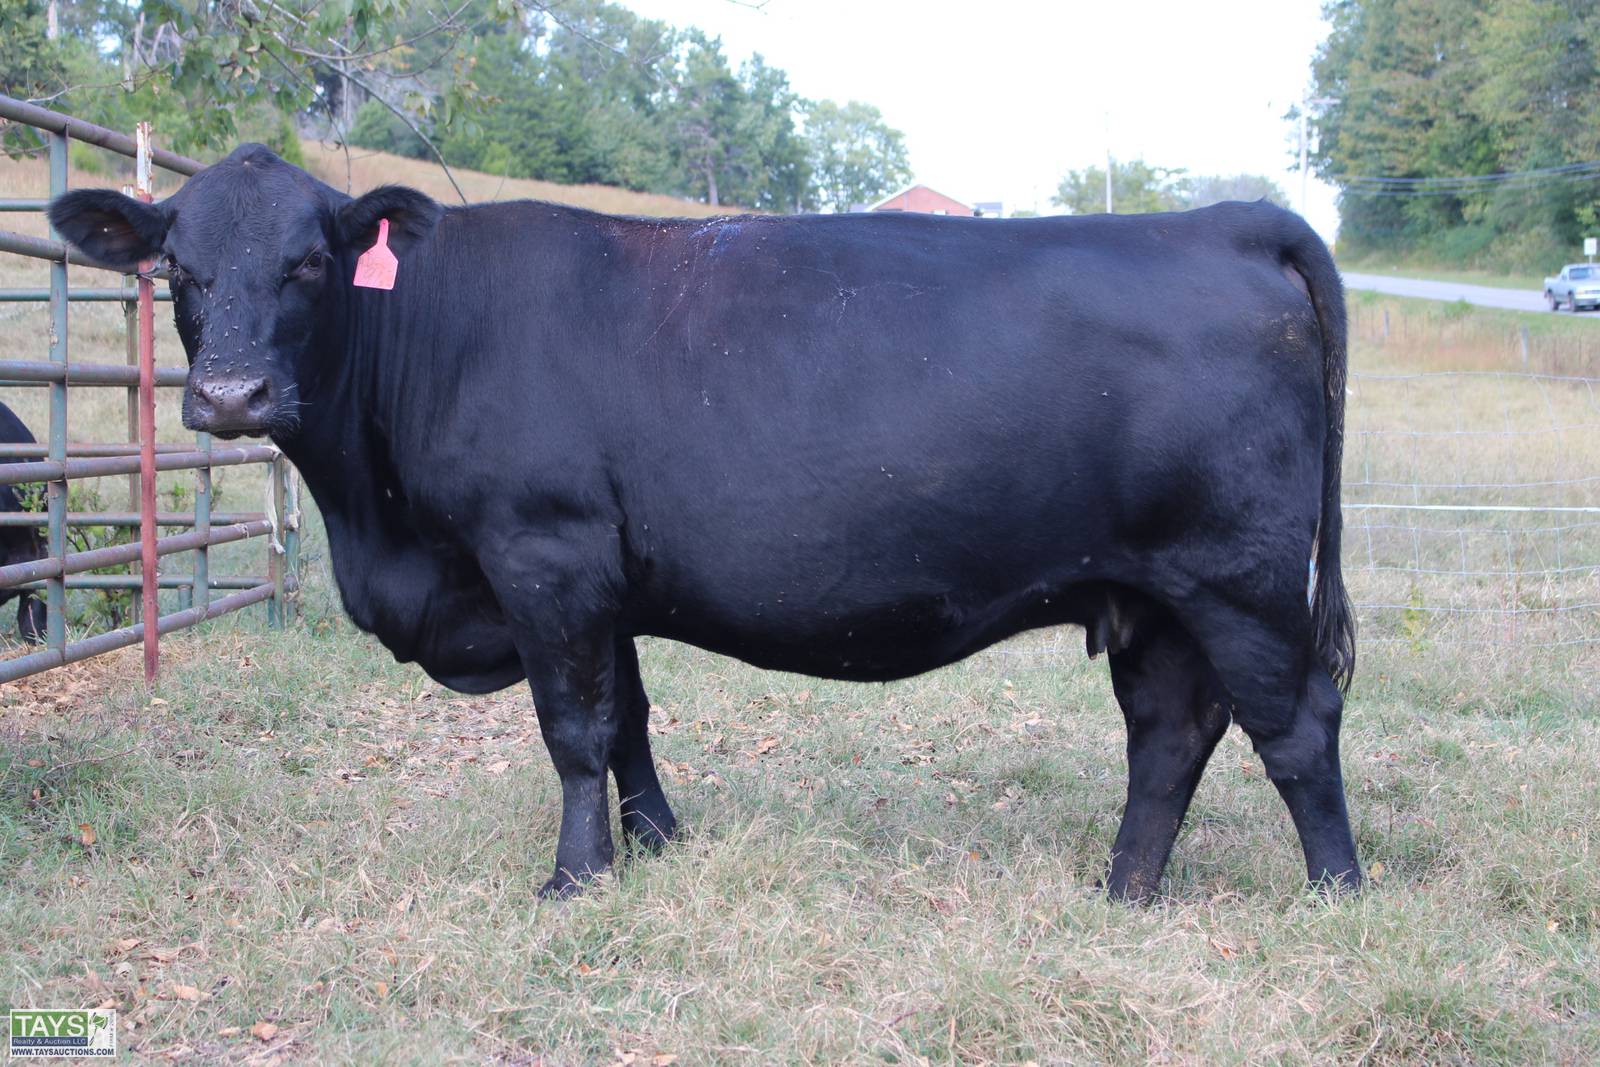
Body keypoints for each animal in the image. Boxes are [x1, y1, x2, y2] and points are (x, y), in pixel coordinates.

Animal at [50, 145, 1360, 902]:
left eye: (312, 261)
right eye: (178, 267)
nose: (231, 397)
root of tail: (1222, 219)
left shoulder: (544, 552)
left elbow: (574, 729)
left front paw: (576, 880)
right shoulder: (600, 581)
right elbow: (628, 719)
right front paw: (659, 845)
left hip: (1240, 576)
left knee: (1293, 723)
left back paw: (1336, 891)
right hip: (1152, 589)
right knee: (1170, 733)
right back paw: (1123, 889)